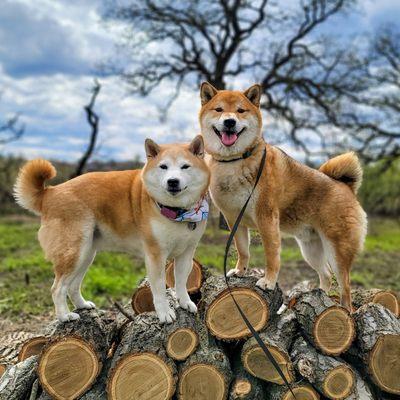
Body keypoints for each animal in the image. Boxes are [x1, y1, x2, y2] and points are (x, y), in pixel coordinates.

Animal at [14, 136, 211, 324]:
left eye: (185, 166)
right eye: (163, 167)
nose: (172, 181)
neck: (178, 211)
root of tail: (50, 192)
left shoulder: (186, 252)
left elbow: (181, 282)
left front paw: (185, 302)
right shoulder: (155, 255)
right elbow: (160, 289)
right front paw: (164, 313)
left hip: (86, 254)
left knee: (73, 285)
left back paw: (82, 305)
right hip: (74, 253)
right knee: (57, 288)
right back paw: (64, 316)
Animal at [198, 81, 368, 310]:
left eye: (241, 111)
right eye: (219, 109)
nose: (230, 121)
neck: (234, 161)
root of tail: (345, 186)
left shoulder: (266, 218)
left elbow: (271, 255)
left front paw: (268, 282)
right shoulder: (234, 219)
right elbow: (243, 250)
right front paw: (240, 272)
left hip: (338, 251)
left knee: (345, 286)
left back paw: (343, 309)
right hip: (311, 249)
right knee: (325, 275)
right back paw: (320, 298)